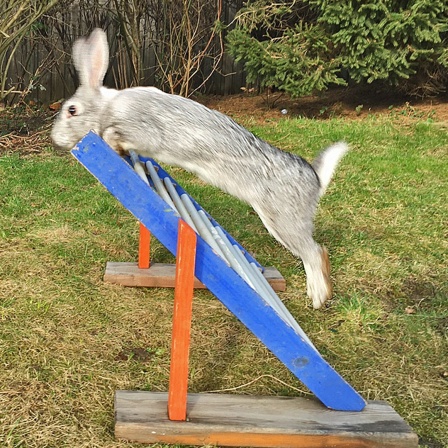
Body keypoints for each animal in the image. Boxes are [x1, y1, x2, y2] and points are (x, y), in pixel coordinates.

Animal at [50, 27, 348, 308]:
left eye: (72, 111)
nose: (56, 139)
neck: (106, 107)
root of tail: (316, 181)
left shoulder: (141, 130)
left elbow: (117, 135)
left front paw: (111, 141)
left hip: (283, 221)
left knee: (315, 252)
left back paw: (318, 296)